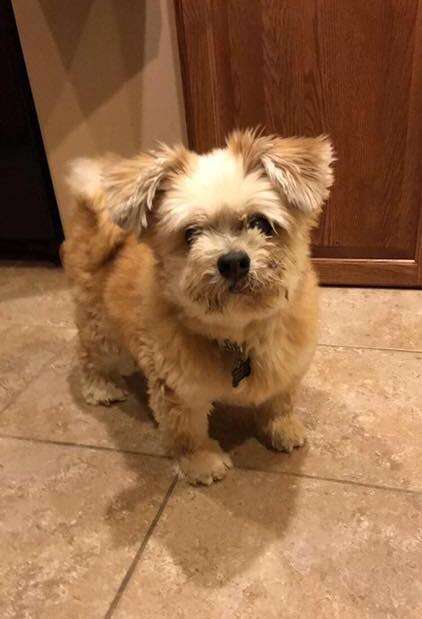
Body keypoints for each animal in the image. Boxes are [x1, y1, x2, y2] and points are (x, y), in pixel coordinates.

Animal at [63, 131, 332, 486]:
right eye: (190, 234)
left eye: (261, 223)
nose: (233, 262)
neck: (239, 334)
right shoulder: (178, 390)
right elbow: (187, 432)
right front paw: (201, 463)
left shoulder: (288, 365)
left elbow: (280, 401)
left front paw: (282, 428)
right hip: (99, 326)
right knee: (89, 356)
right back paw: (100, 388)